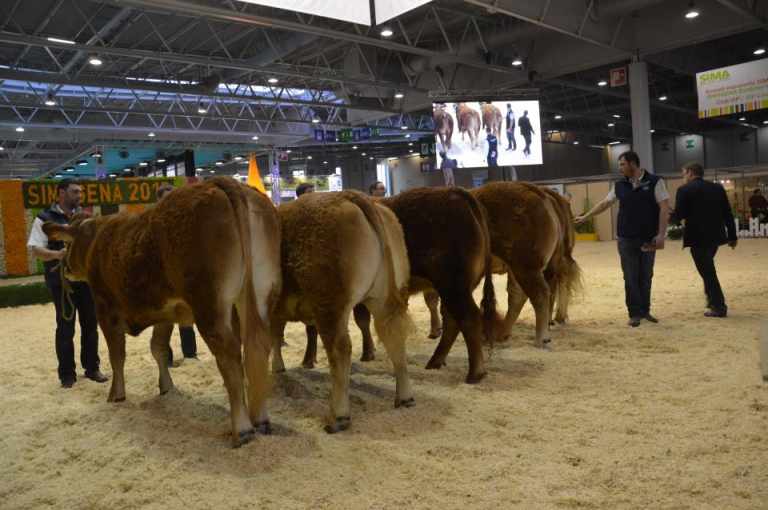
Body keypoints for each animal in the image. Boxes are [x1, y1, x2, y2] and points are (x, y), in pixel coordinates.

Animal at [42, 178, 282, 446]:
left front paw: (116, 394)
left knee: (229, 353)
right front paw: (166, 387)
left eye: (67, 243)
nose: (65, 268)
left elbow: (117, 355)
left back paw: (242, 428)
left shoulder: (105, 307)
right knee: (257, 345)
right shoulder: (166, 310)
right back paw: (260, 419)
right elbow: (158, 348)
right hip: (261, 294)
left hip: (209, 304)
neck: (98, 237)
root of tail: (221, 182)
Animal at [270, 189, 414, 432]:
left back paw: (338, 416)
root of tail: (349, 195)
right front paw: (277, 368)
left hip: (330, 304)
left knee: (340, 349)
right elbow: (274, 336)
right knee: (394, 336)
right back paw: (404, 398)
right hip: (383, 298)